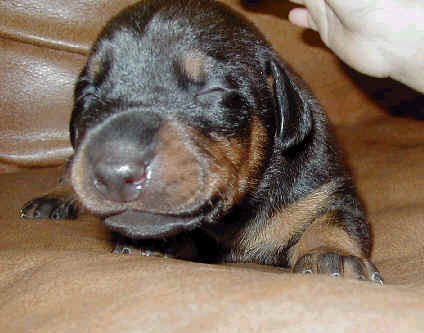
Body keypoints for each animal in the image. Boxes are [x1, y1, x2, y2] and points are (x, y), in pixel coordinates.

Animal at [21, 0, 382, 282]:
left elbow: (332, 219)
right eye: (87, 94)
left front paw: (329, 255)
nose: (115, 173)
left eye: (212, 91)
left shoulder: (325, 189)